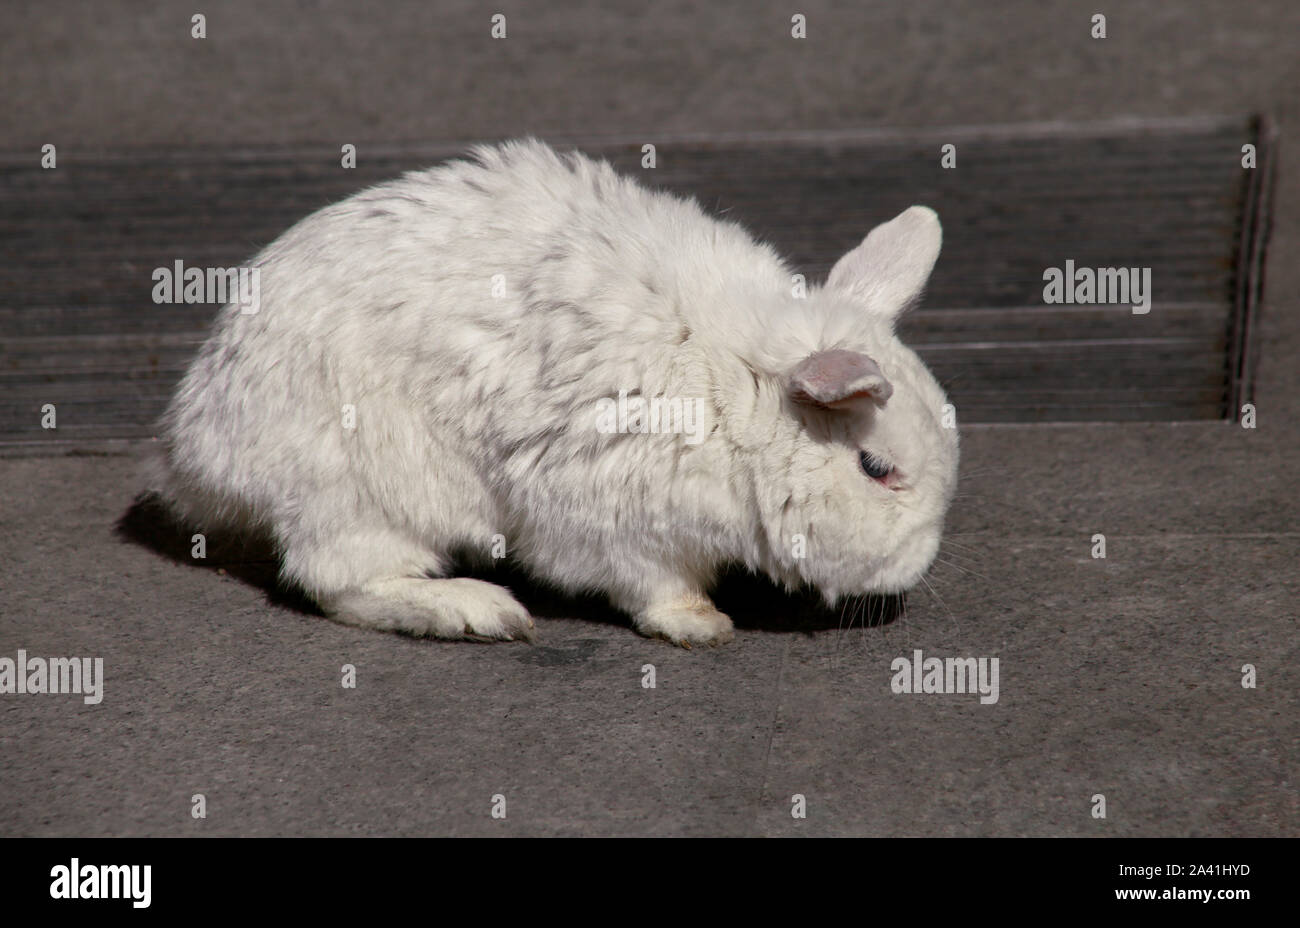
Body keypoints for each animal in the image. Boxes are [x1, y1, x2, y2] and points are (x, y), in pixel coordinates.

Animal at [152, 138, 959, 647]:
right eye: (875, 469)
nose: (916, 568)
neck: (737, 393)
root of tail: (194, 455)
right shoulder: (613, 523)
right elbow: (654, 586)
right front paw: (702, 625)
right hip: (366, 495)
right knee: (340, 583)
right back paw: (477, 611)